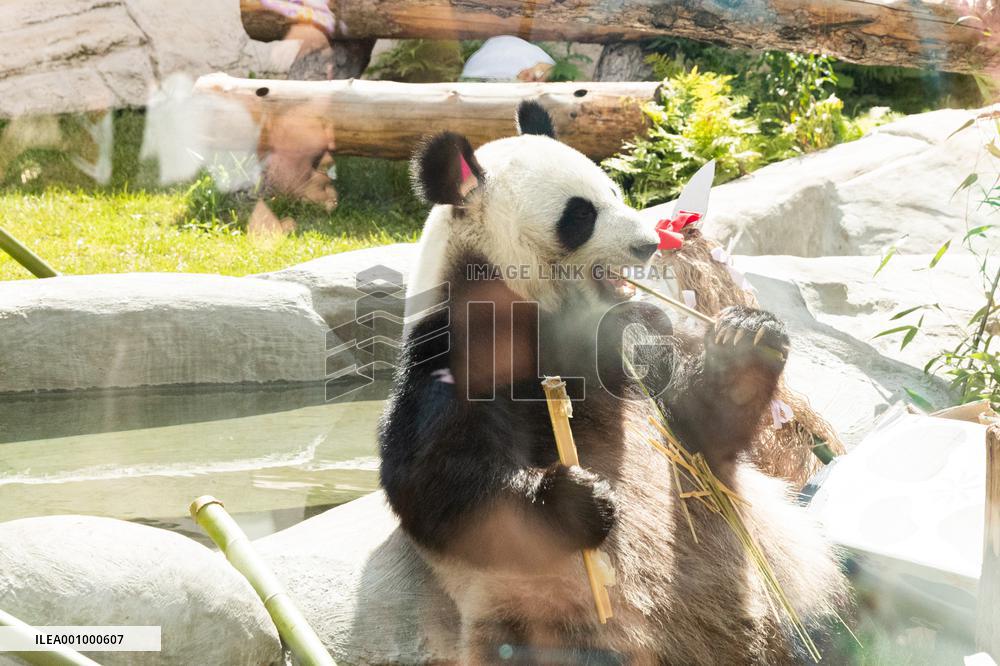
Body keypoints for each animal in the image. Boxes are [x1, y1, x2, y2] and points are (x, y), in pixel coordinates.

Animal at [379, 101, 848, 665]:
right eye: (580, 214)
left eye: (616, 192)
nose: (649, 244)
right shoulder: (452, 347)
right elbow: (431, 483)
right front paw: (576, 499)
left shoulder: (629, 341)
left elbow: (701, 430)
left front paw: (747, 337)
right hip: (550, 626)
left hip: (796, 593)